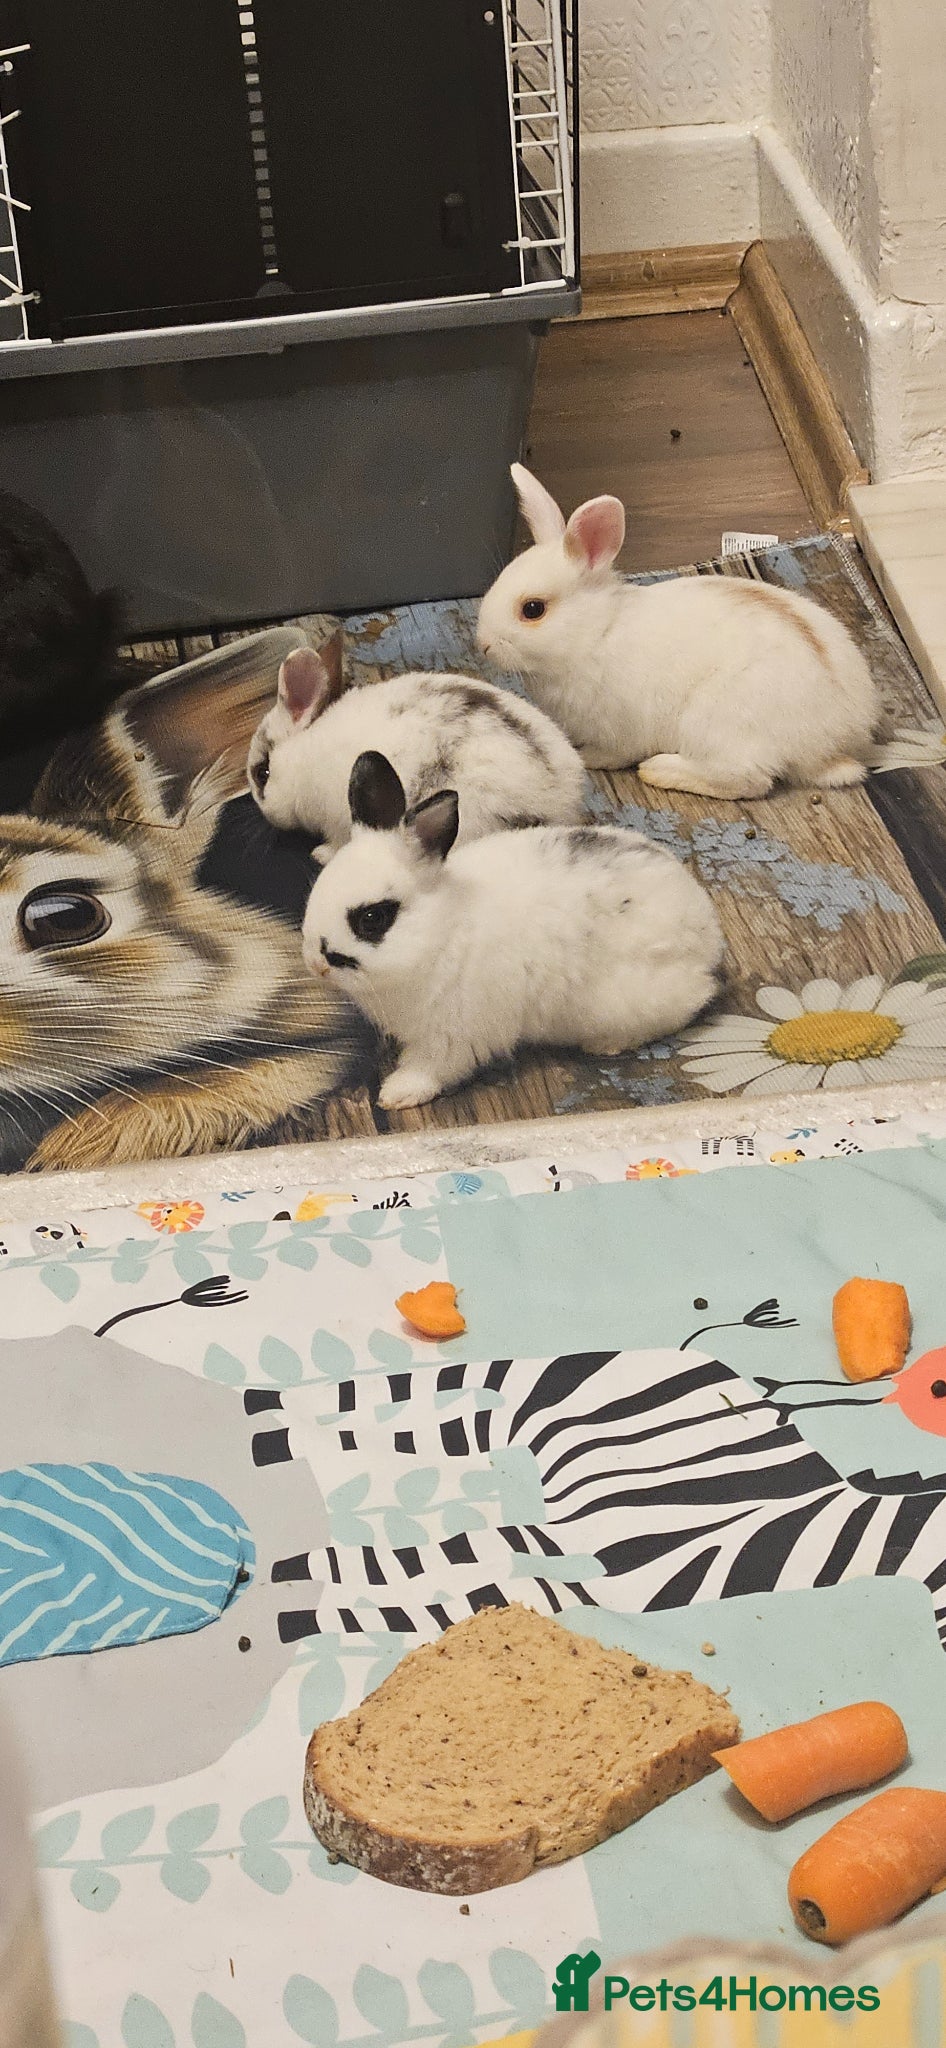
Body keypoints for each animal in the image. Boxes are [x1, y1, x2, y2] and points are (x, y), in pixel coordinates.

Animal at [246, 629, 587, 856]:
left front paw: (320, 854)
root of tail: (559, 802)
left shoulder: (338, 822)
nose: (267, 815)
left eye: (263, 773)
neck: (304, 757)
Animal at [301, 750, 724, 1110]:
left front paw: (397, 1094)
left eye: (373, 918)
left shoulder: (455, 1031)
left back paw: (606, 1045)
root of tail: (708, 935)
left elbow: (432, 1067)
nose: (316, 964)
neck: (444, 930)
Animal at [475, 465, 881, 799]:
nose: (483, 645)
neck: (597, 633)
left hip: (716, 723)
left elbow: (614, 753)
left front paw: (586, 755)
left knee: (748, 780)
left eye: (533, 609)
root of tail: (842, 737)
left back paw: (661, 770)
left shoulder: (621, 730)